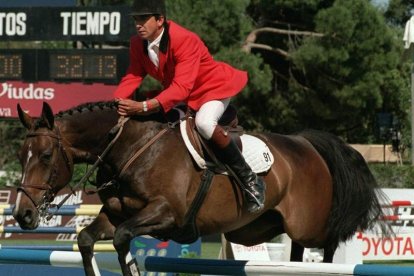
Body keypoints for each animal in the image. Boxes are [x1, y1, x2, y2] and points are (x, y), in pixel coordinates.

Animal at [13, 102, 392, 276]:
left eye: (45, 155)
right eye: (20, 155)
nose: (23, 214)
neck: (130, 149)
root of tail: (306, 143)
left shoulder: (166, 214)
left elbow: (122, 239)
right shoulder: (115, 212)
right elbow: (87, 239)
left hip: (308, 223)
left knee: (329, 244)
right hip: (272, 224)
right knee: (299, 253)